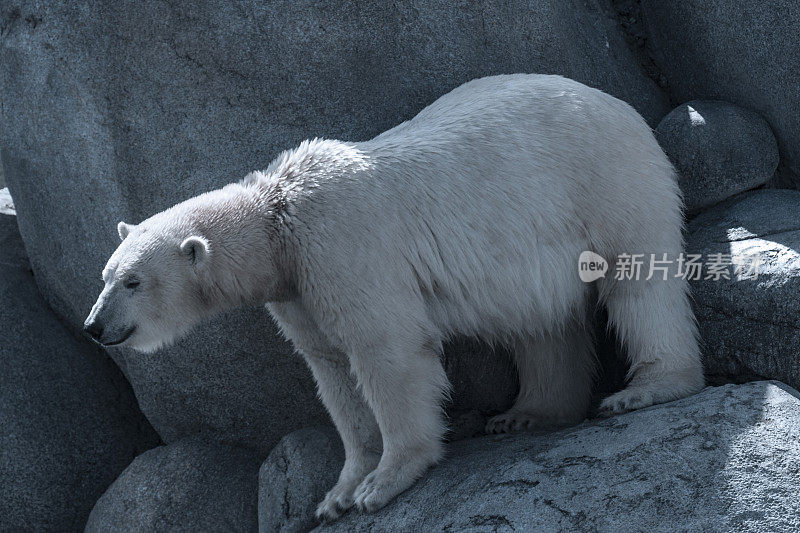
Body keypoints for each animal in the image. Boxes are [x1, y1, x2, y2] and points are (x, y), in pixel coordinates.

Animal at [84, 75, 704, 520]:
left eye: (132, 281)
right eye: (105, 276)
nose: (95, 326)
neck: (278, 216)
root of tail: (620, 106)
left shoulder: (341, 246)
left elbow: (386, 354)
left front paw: (380, 485)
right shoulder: (298, 291)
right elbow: (333, 374)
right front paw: (337, 493)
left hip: (607, 180)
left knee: (637, 281)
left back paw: (644, 389)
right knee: (539, 322)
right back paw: (527, 414)